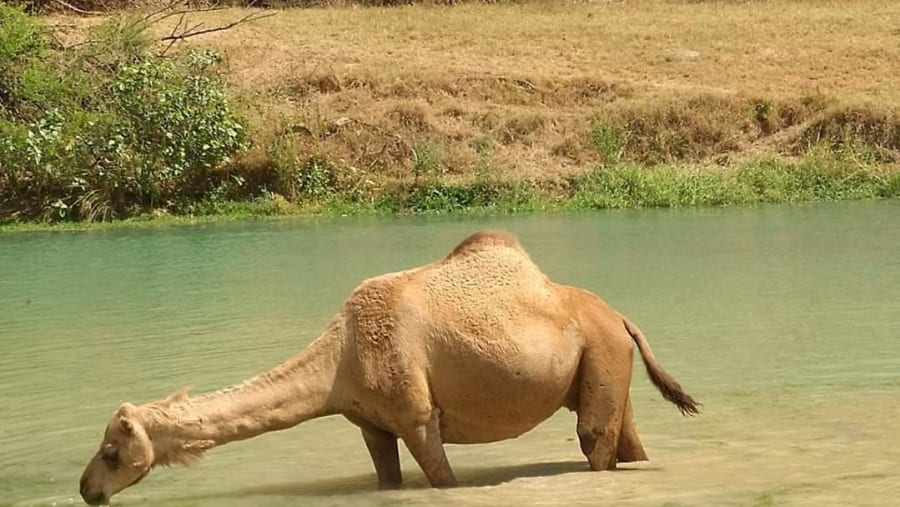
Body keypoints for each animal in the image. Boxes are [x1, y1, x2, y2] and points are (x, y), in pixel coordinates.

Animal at [79, 230, 699, 505]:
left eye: (111, 450)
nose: (86, 489)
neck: (340, 360)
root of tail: (620, 316)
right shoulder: (371, 423)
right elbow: (385, 474)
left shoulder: (417, 413)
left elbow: (441, 476)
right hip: (605, 363)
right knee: (627, 438)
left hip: (599, 353)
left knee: (594, 438)